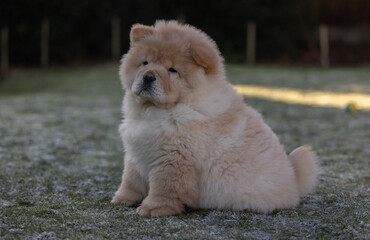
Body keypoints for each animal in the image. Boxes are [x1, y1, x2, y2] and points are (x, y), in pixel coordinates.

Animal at [110, 19, 318, 217]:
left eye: (172, 70)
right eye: (144, 63)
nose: (148, 76)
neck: (152, 111)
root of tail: (294, 180)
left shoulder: (174, 158)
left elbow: (165, 186)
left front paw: (153, 208)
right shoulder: (135, 151)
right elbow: (130, 179)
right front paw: (122, 199)